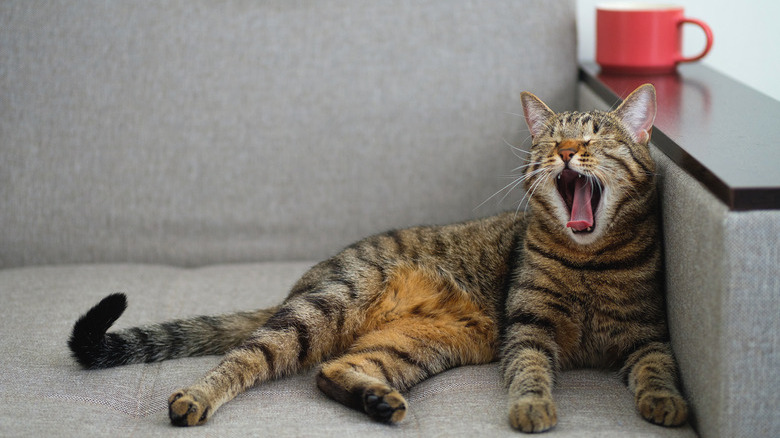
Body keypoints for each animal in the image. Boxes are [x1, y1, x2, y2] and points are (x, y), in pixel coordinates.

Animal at [68, 84, 688, 432]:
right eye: (548, 140)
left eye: (596, 136)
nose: (564, 150)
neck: (590, 261)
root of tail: (306, 280)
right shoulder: (527, 328)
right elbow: (531, 374)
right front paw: (533, 410)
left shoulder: (649, 333)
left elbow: (658, 372)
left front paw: (666, 405)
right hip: (328, 306)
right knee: (246, 357)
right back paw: (196, 397)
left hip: (422, 342)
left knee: (334, 369)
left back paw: (377, 400)